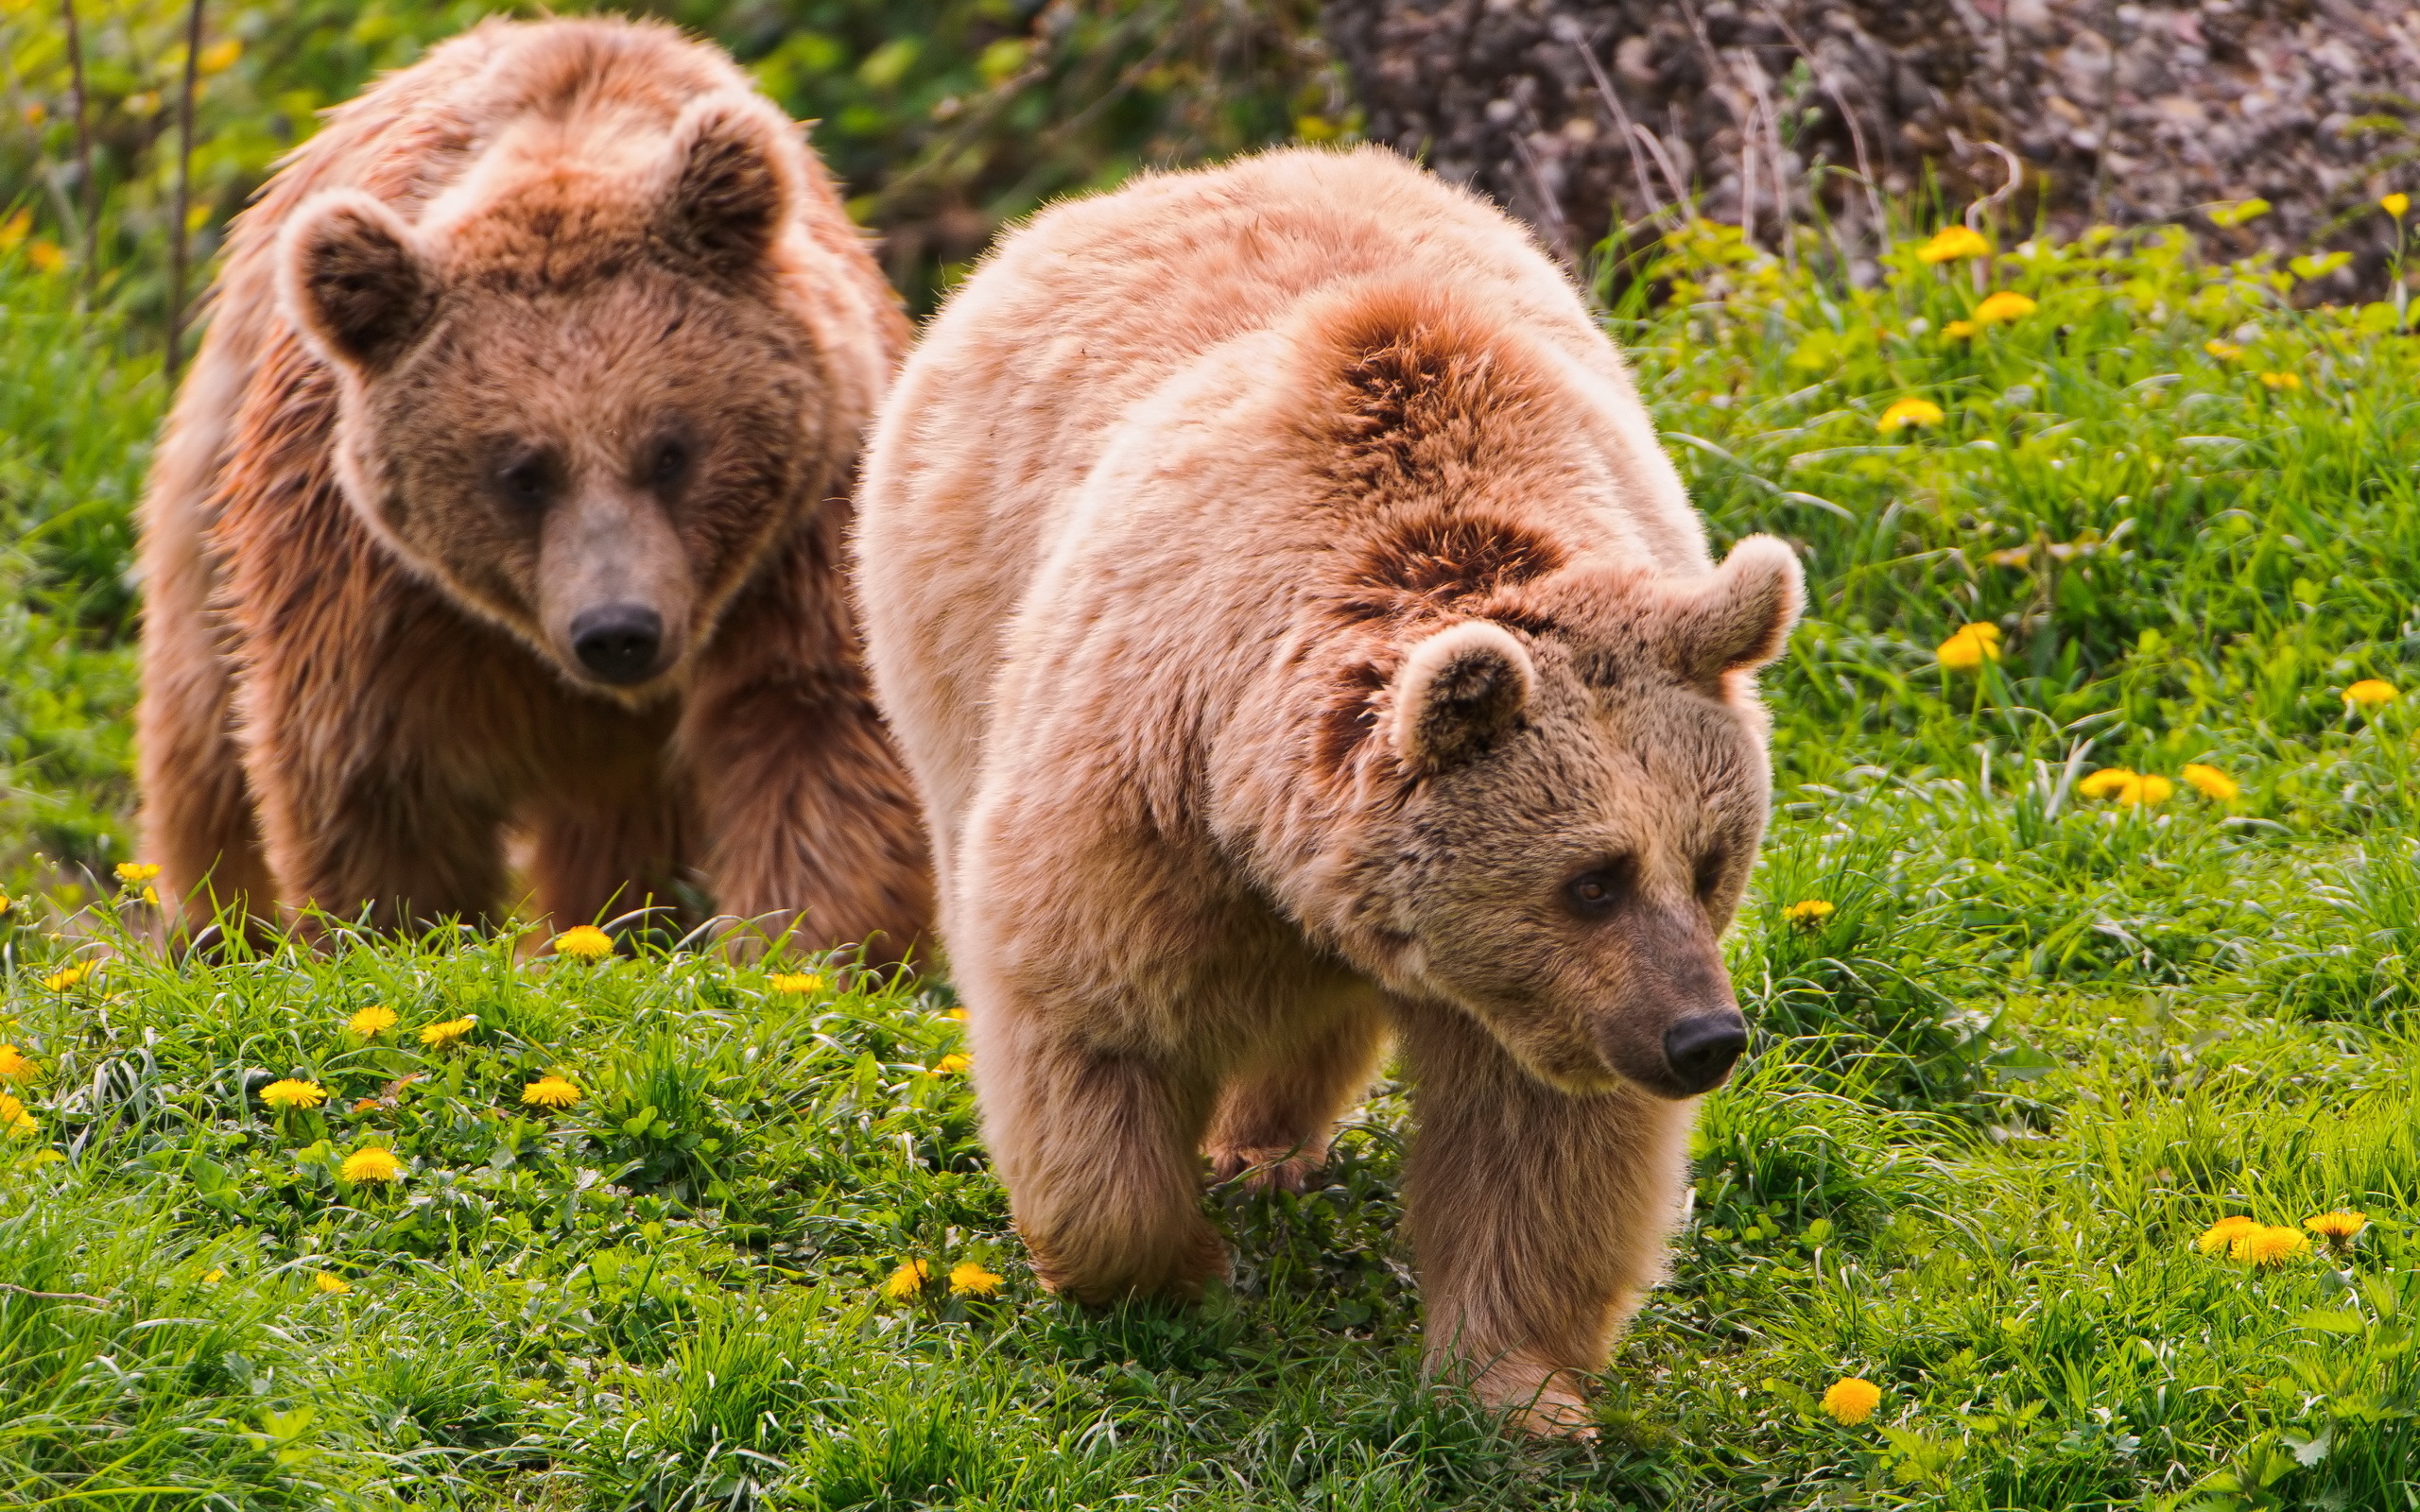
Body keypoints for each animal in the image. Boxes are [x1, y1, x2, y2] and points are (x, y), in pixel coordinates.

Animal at [130, 14, 934, 953]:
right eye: (521, 473)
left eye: (672, 450)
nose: (618, 630)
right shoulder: (373, 585)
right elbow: (375, 776)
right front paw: (401, 931)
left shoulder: (806, 536)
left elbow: (818, 737)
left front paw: (793, 948)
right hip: (212, 476)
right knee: (201, 727)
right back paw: (217, 928)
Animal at [861, 147, 1809, 1432]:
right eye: (1592, 879)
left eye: (1711, 860)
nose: (1702, 1036)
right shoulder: (1145, 794)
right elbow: (1089, 1019)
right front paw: (1173, 1269)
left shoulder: (1539, 1001)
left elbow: (1540, 1147)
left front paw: (1520, 1390)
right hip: (949, 629)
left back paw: (1273, 1141)